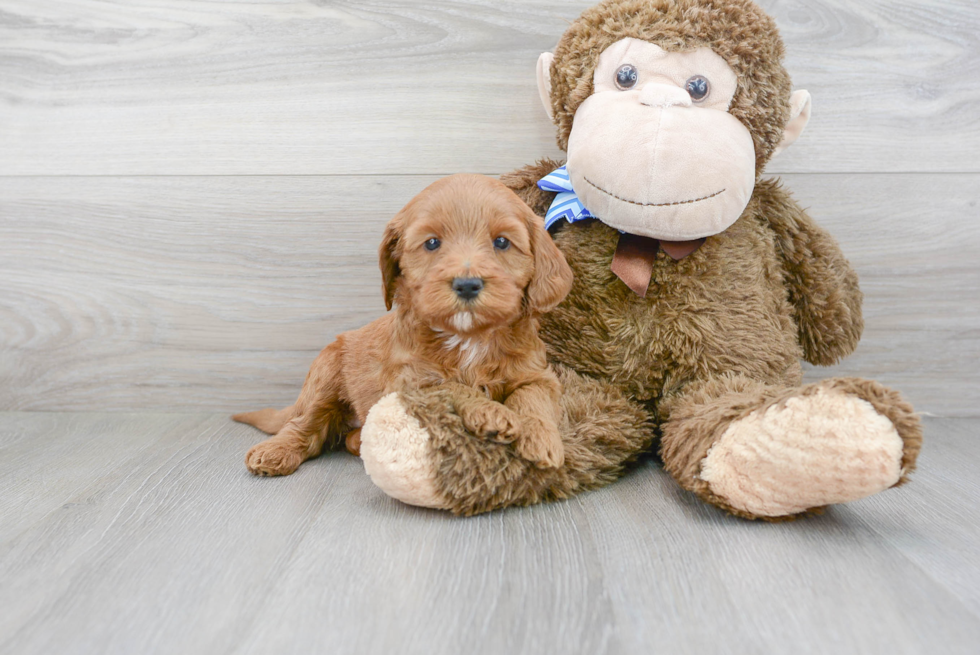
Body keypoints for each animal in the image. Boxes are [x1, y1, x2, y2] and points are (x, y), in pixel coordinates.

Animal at [234, 174, 576, 476]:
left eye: (502, 242)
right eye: (432, 243)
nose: (467, 284)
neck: (469, 338)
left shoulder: (537, 373)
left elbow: (532, 397)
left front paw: (541, 439)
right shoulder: (408, 383)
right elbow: (451, 387)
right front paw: (490, 412)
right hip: (324, 374)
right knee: (304, 424)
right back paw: (275, 452)